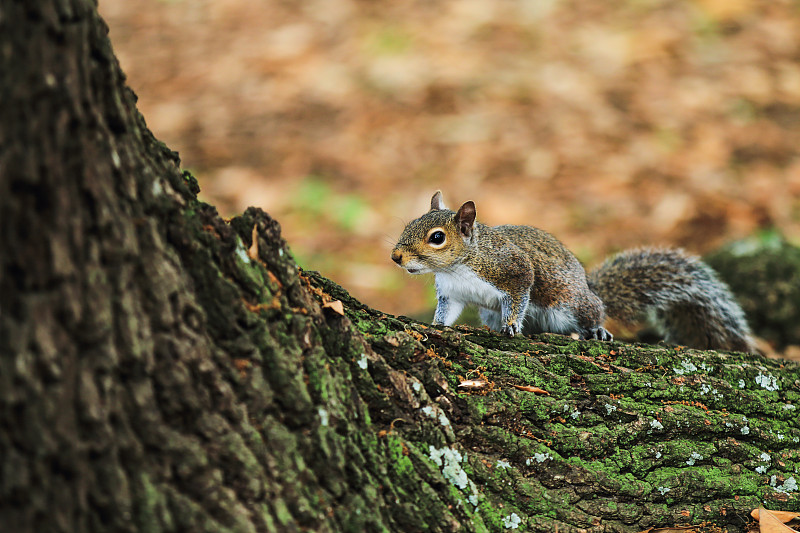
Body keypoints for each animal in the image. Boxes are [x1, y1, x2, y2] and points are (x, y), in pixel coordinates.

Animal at [392, 191, 756, 354]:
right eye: (409, 224)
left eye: (437, 238)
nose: (396, 256)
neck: (458, 267)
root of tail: (588, 286)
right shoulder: (451, 293)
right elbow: (448, 313)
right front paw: (437, 325)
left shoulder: (513, 269)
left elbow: (520, 294)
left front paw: (512, 326)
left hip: (571, 302)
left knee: (594, 312)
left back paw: (597, 331)